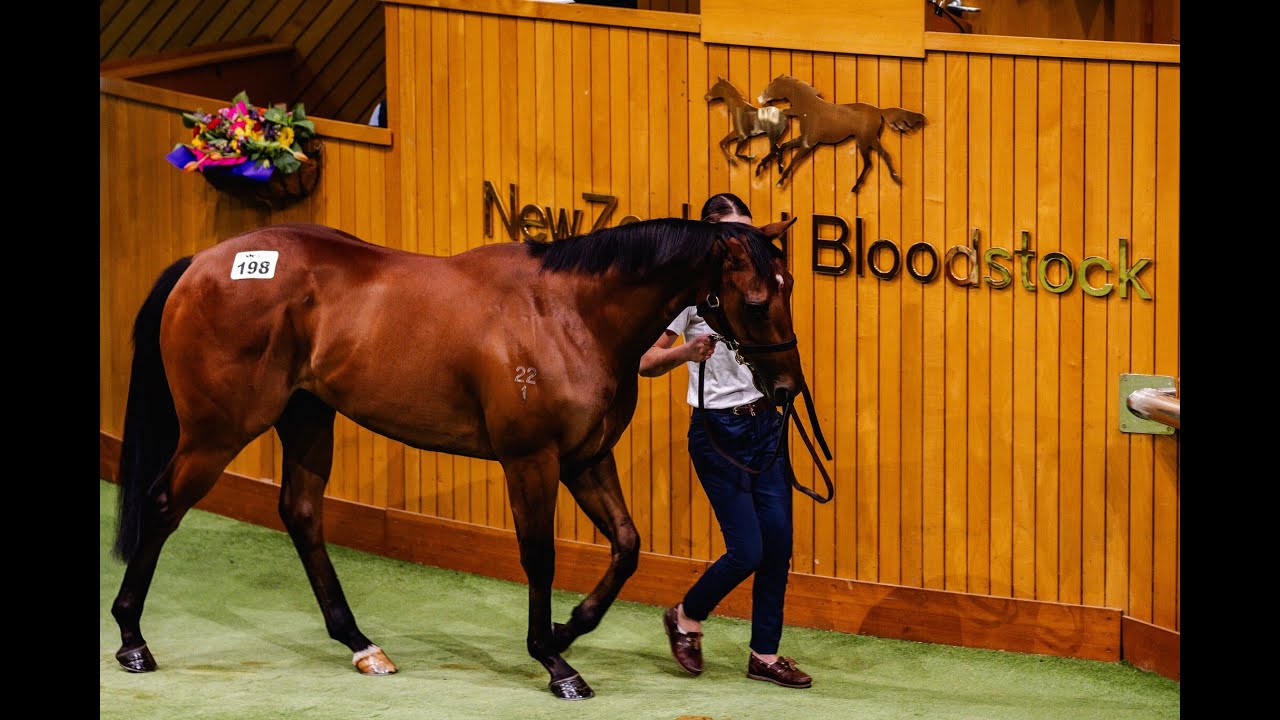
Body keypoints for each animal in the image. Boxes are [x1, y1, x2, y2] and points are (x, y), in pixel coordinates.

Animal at [107, 216, 809, 701]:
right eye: (754, 299)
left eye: (790, 287)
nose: (784, 390)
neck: (569, 314)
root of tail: (201, 262)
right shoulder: (531, 461)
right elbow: (539, 556)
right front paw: (554, 661)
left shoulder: (586, 458)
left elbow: (628, 546)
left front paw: (567, 630)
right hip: (218, 429)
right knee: (164, 505)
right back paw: (133, 641)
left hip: (306, 415)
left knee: (301, 513)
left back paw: (361, 645)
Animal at [756, 74, 927, 193]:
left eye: (772, 85)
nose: (760, 98)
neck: (808, 109)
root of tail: (879, 111)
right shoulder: (803, 139)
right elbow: (783, 146)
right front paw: (764, 167)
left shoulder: (808, 144)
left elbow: (794, 159)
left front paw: (780, 180)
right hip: (871, 140)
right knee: (884, 155)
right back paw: (896, 179)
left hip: (863, 141)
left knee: (869, 162)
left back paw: (856, 187)